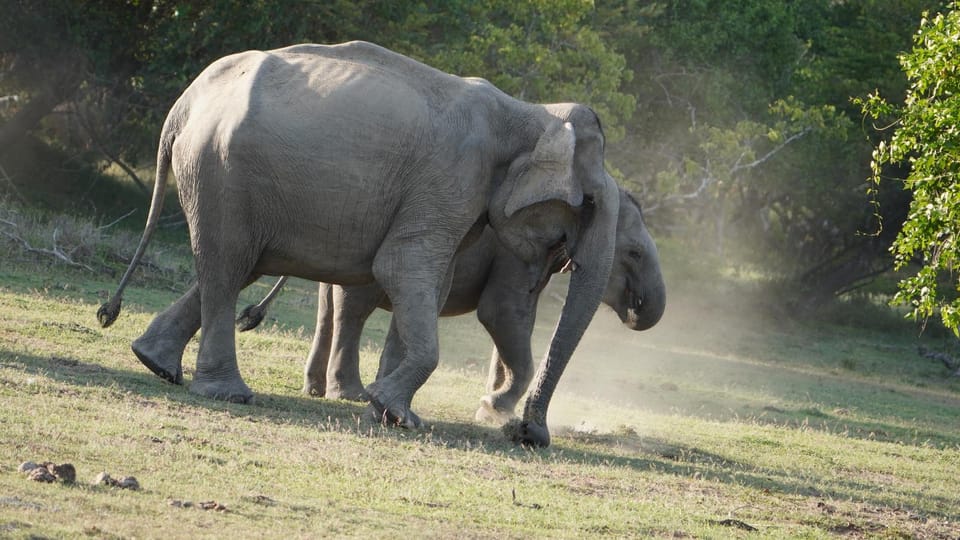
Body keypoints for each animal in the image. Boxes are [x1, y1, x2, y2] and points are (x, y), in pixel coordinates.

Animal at [99, 41, 624, 448]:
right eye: (588, 203)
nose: (526, 434)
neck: (530, 113)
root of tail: (185, 102)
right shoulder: (452, 177)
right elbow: (401, 268)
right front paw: (395, 412)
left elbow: (429, 283)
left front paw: (386, 409)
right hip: (221, 171)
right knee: (228, 266)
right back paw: (227, 393)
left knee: (236, 265)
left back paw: (155, 362)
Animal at [238, 188, 668, 428]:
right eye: (633, 253)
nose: (637, 309)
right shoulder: (514, 255)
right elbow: (500, 312)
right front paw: (494, 409)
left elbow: (518, 320)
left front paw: (493, 408)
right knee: (353, 309)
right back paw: (350, 394)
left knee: (328, 309)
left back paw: (316, 388)